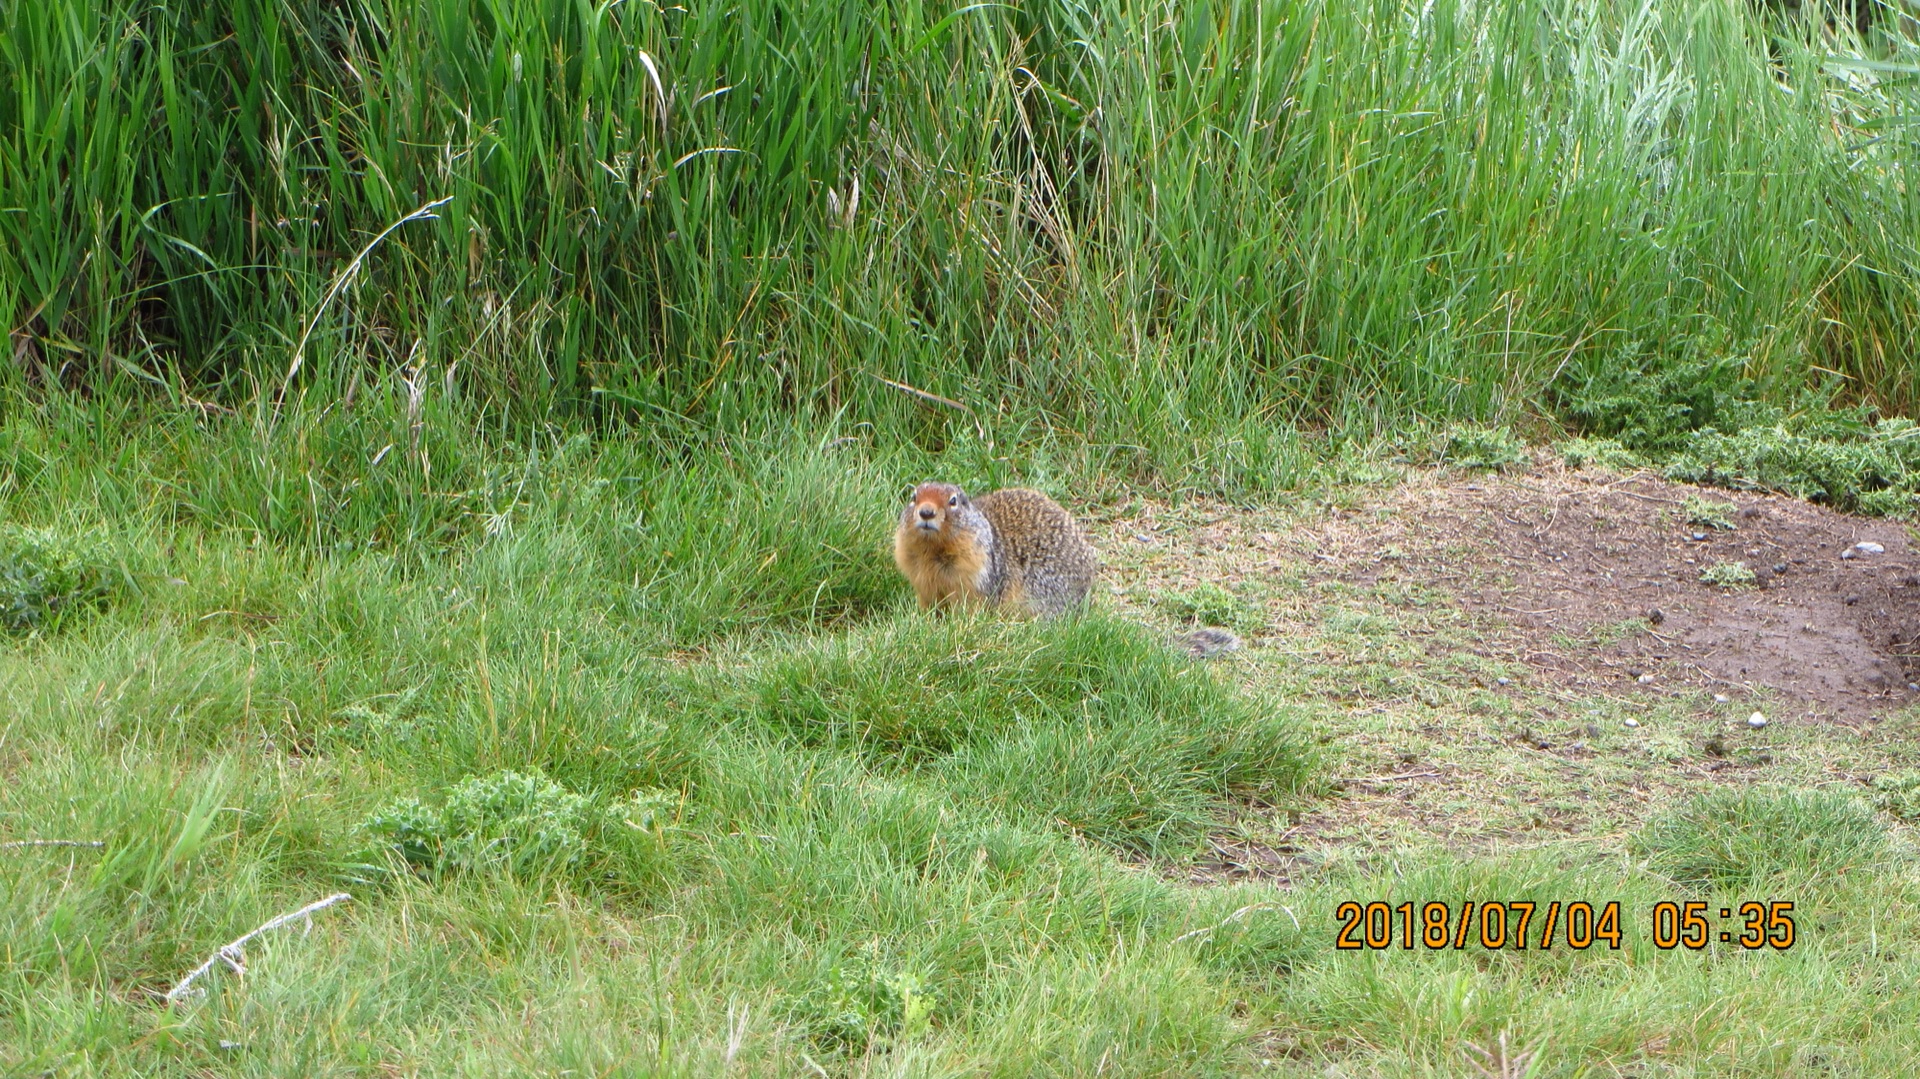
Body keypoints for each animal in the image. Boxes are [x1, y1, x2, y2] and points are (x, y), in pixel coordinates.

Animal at [887, 478, 1098, 614]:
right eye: (914, 497)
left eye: (953, 501)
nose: (926, 512)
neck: (932, 550)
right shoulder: (922, 583)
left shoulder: (974, 574)